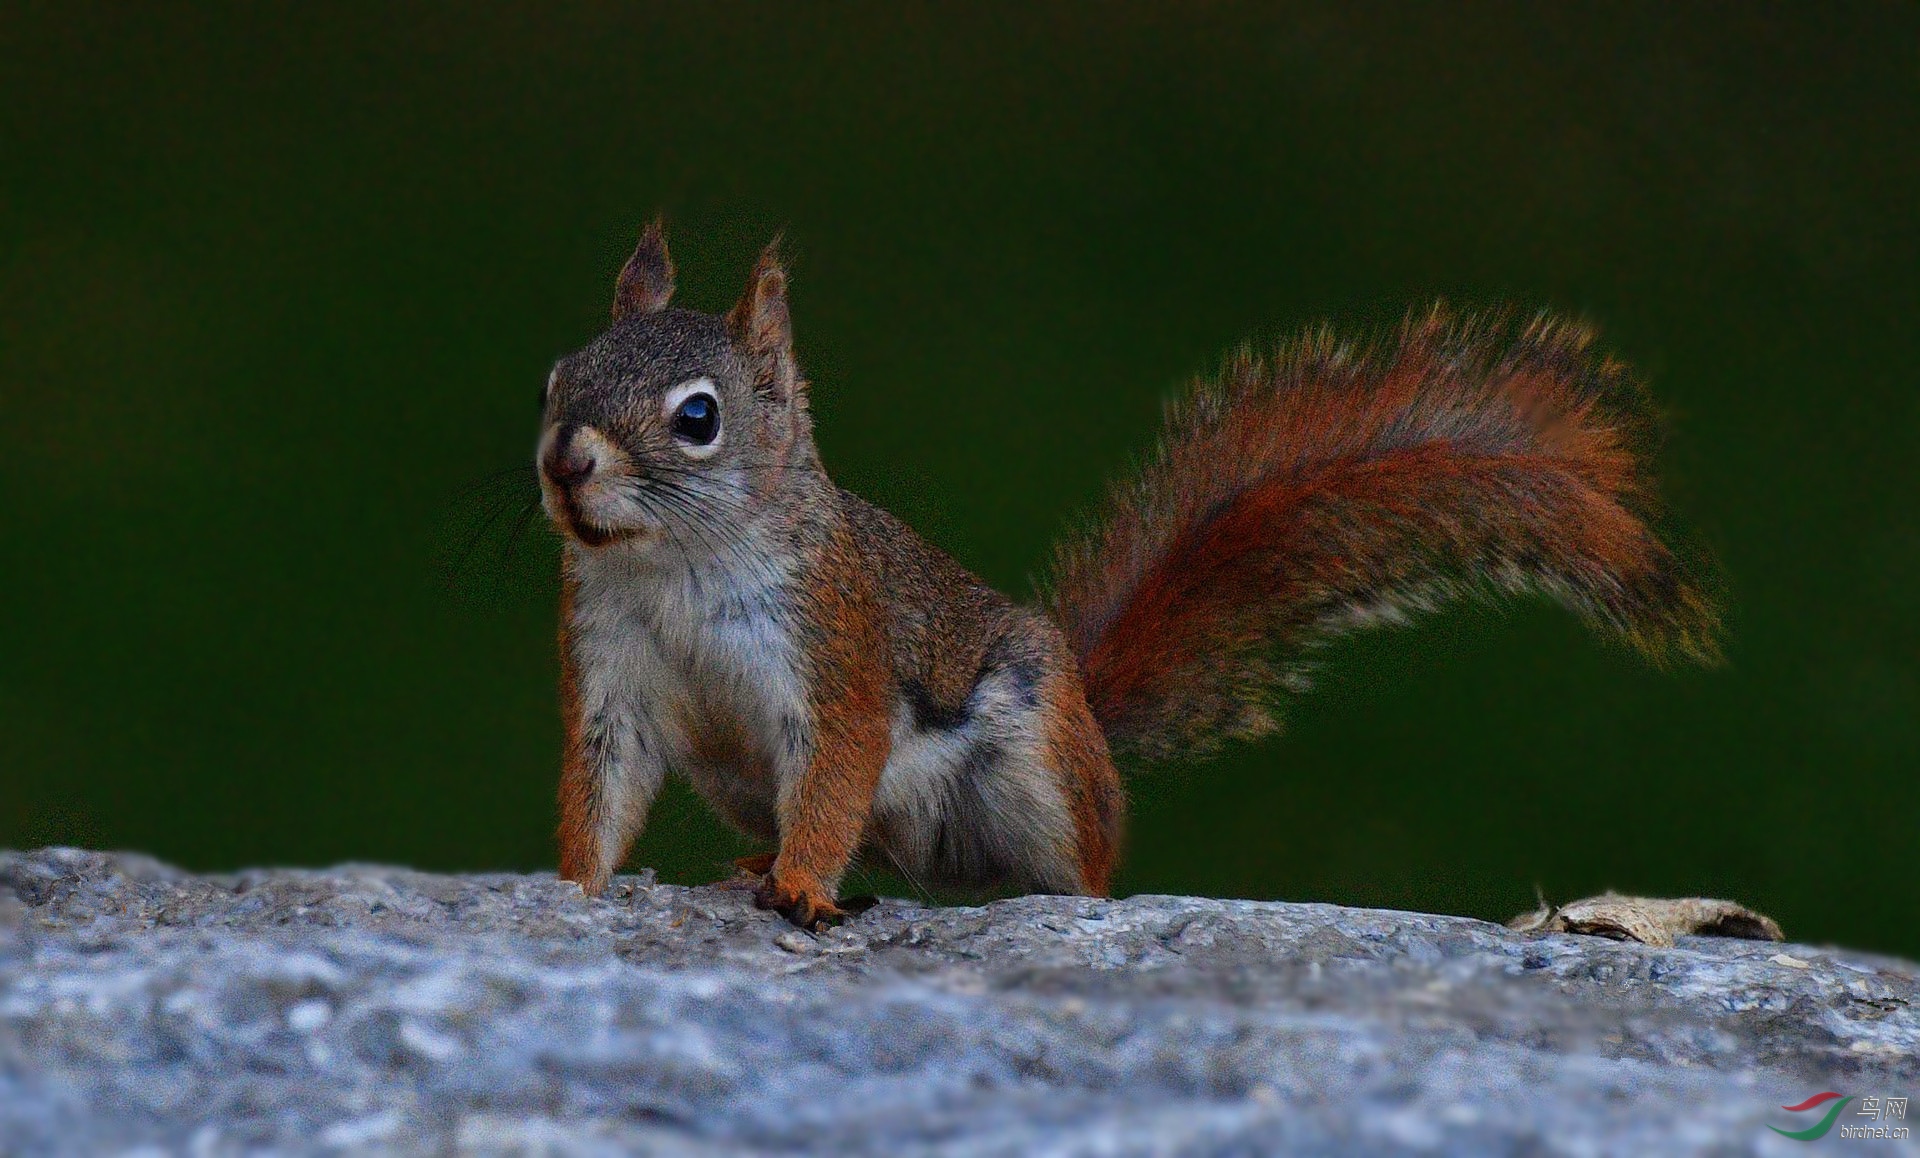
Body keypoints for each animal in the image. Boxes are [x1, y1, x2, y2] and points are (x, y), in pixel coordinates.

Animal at [537, 219, 1728, 933]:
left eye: (699, 419)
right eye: (557, 379)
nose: (564, 462)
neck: (673, 567)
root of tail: (1093, 732)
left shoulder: (836, 656)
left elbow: (833, 784)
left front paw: (801, 886)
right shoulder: (613, 675)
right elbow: (603, 791)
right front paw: (577, 887)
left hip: (1036, 767)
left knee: (1083, 875)